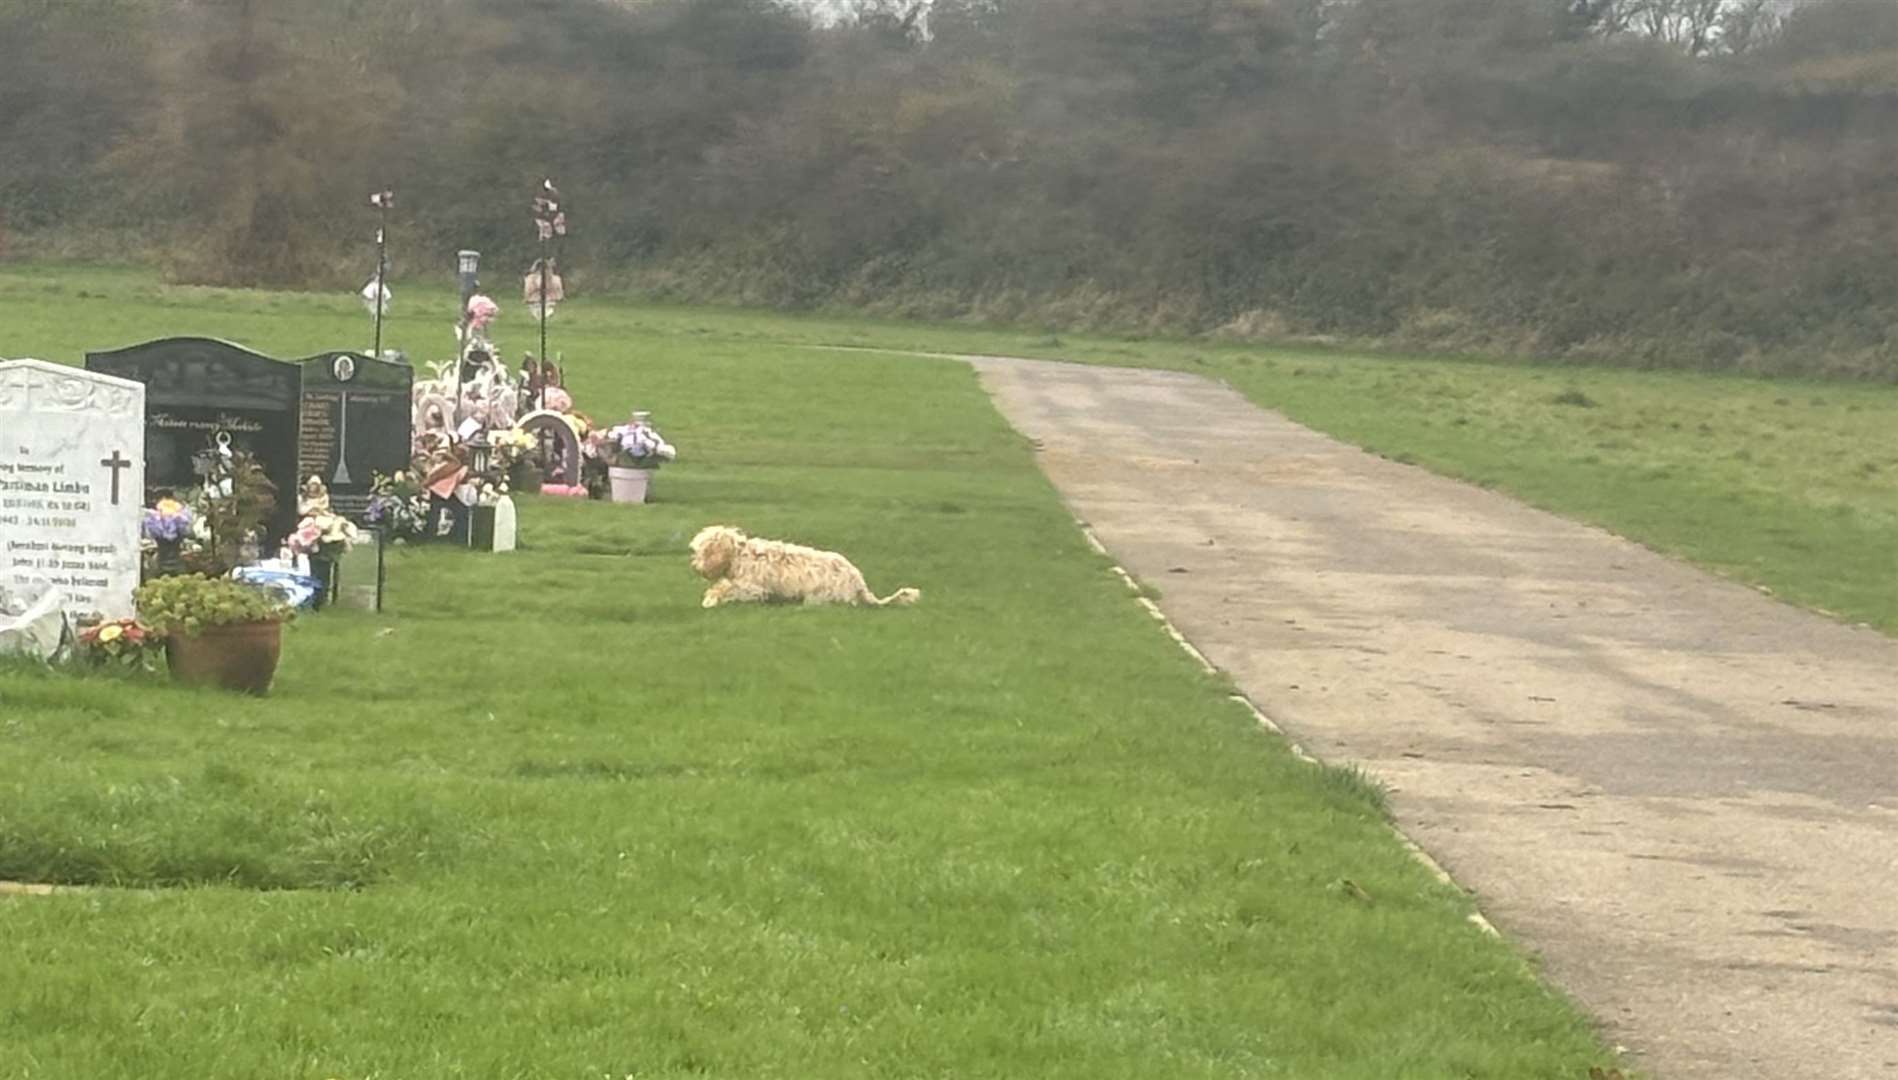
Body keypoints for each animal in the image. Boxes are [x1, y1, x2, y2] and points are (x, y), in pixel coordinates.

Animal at [690, 523, 918, 607]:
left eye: (701, 552)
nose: (695, 566)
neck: (740, 555)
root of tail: (859, 582)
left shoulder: (752, 588)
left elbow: (726, 590)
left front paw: (711, 599)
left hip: (820, 595)